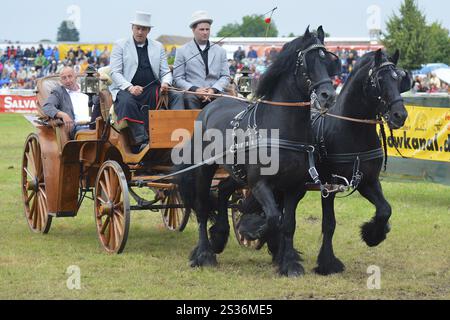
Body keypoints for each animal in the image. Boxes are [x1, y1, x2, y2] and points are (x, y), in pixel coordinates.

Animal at [178, 26, 340, 278]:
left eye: (328, 61)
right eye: (308, 62)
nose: (328, 95)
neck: (282, 131)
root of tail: (210, 107)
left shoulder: (294, 187)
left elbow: (288, 224)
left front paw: (289, 263)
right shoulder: (260, 183)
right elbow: (273, 218)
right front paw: (252, 229)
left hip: (237, 173)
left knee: (223, 191)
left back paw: (220, 235)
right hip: (205, 170)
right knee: (202, 208)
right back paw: (204, 254)